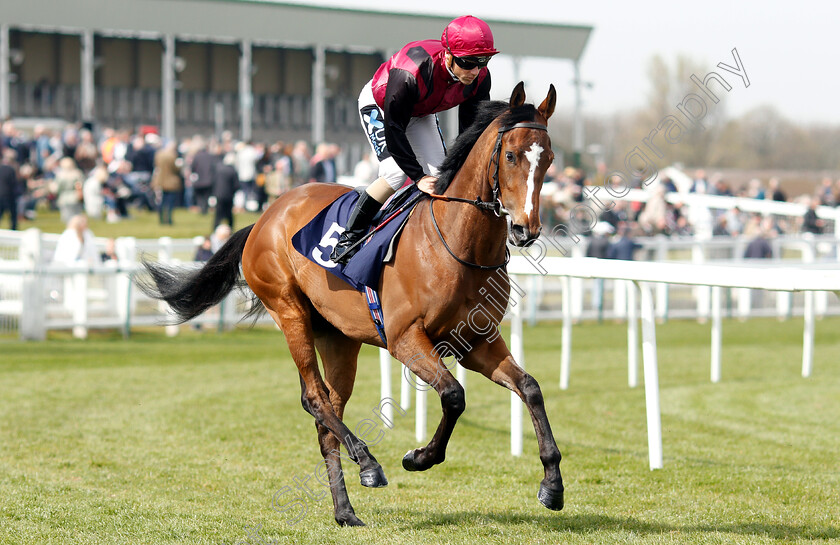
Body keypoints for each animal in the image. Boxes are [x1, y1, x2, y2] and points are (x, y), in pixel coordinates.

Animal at [141, 83, 564, 524]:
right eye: (511, 155)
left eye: (549, 158)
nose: (526, 229)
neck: (456, 243)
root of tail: (265, 216)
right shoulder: (405, 340)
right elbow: (453, 395)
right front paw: (418, 457)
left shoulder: (477, 341)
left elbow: (530, 388)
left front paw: (552, 484)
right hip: (289, 310)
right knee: (314, 398)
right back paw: (369, 464)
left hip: (339, 338)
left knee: (328, 412)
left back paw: (345, 509)